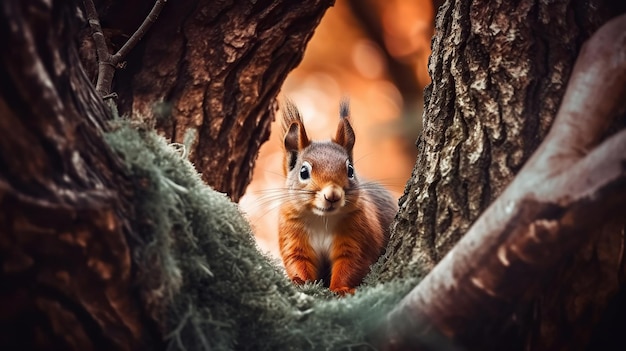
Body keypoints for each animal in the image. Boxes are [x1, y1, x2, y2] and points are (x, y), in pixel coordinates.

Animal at [276, 100, 394, 296]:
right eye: (303, 172)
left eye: (350, 170)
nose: (332, 195)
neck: (321, 219)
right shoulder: (293, 238)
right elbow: (298, 262)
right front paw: (299, 281)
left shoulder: (358, 236)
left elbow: (351, 264)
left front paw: (341, 289)